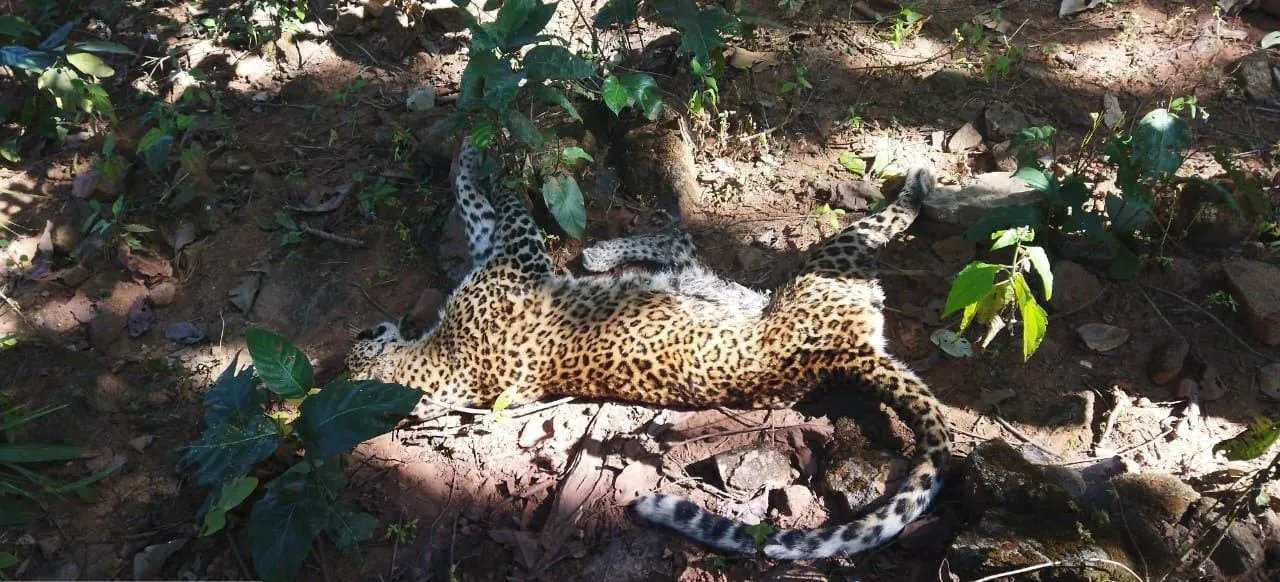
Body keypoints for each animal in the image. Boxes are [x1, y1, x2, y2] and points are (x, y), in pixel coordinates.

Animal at [344, 137, 952, 560]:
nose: (360, 332)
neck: (441, 364)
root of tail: (850, 356)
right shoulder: (516, 256)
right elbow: (497, 206)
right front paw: (484, 153)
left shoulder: (503, 256)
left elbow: (477, 205)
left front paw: (477, 146)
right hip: (828, 262)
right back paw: (919, 181)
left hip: (749, 290)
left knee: (688, 254)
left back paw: (604, 254)